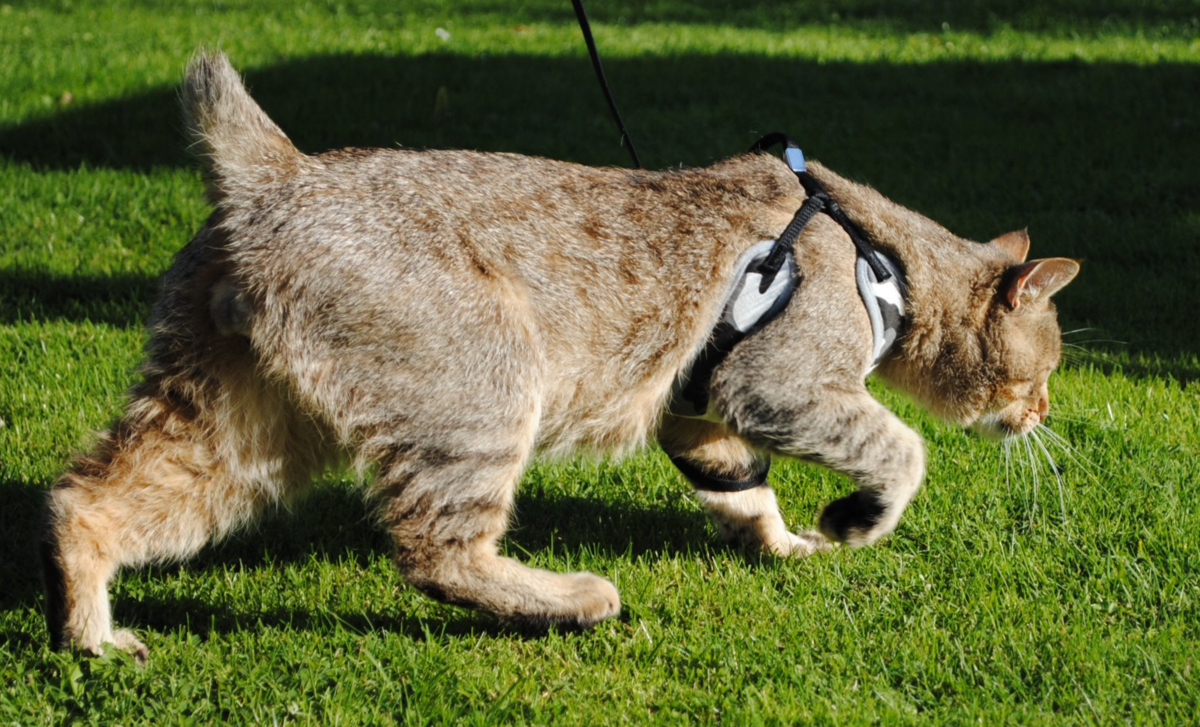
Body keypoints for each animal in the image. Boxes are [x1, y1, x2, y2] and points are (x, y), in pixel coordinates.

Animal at [42, 51, 1084, 662]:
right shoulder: (779, 386)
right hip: (488, 395)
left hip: (233, 430)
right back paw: (572, 600)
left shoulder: (702, 413)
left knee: (83, 499)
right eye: (1044, 373)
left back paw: (89, 635)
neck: (883, 254)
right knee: (435, 551)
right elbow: (901, 450)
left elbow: (746, 493)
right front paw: (856, 520)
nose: (1041, 415)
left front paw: (786, 542)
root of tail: (278, 173)